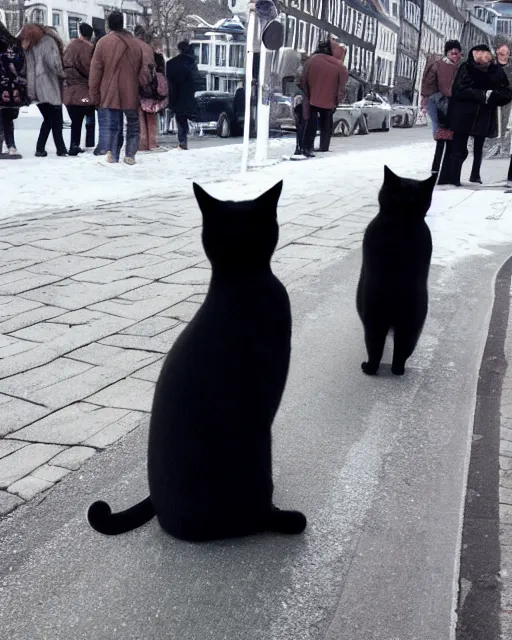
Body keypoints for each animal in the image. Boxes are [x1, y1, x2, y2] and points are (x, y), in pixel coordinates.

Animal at [356, 166, 436, 376]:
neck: (402, 219)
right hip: (413, 323)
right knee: (403, 350)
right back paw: (398, 370)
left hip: (373, 317)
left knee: (375, 348)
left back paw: (368, 368)